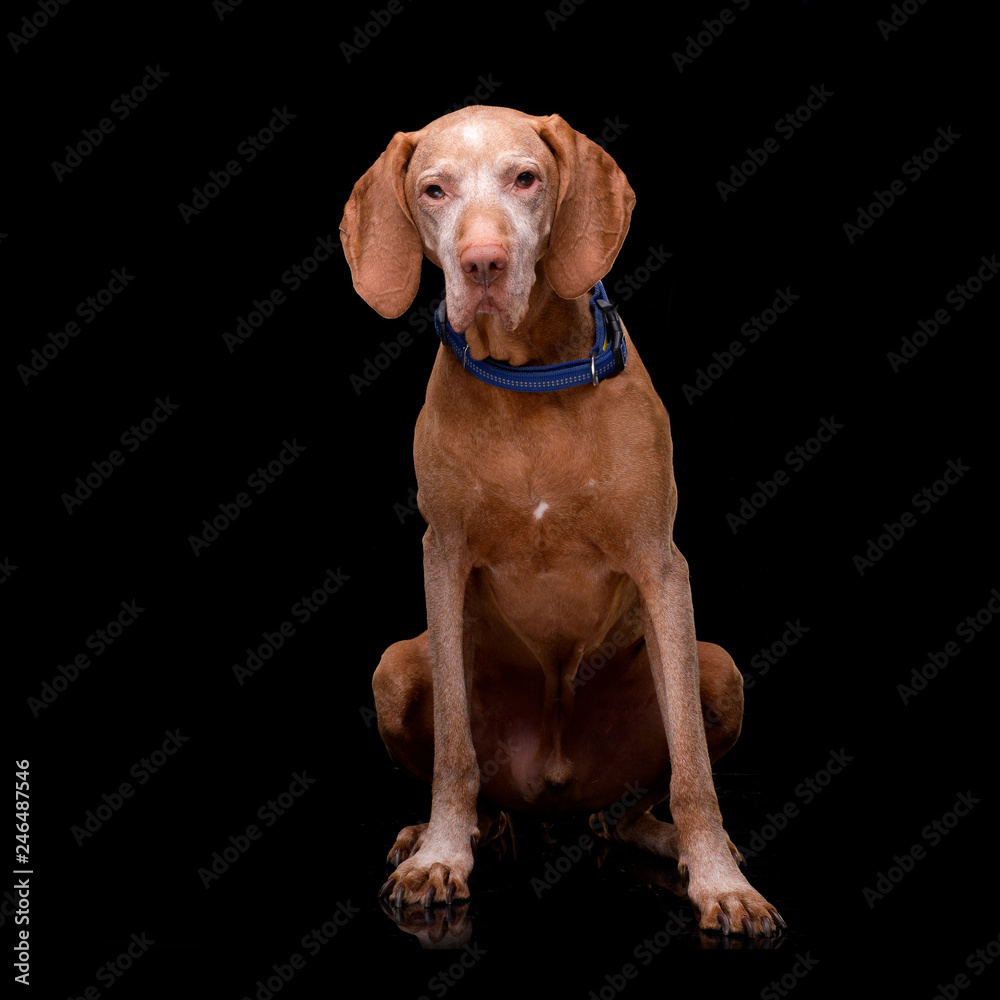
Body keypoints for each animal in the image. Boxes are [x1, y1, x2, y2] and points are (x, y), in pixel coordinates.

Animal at [340, 105, 784, 932]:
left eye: (526, 178)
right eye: (434, 190)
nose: (482, 264)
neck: (528, 380)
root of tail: (554, 794)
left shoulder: (660, 565)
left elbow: (693, 770)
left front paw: (720, 881)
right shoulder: (444, 558)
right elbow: (455, 750)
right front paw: (441, 854)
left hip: (719, 668)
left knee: (633, 806)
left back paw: (664, 839)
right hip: (395, 667)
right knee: (485, 789)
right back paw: (450, 831)